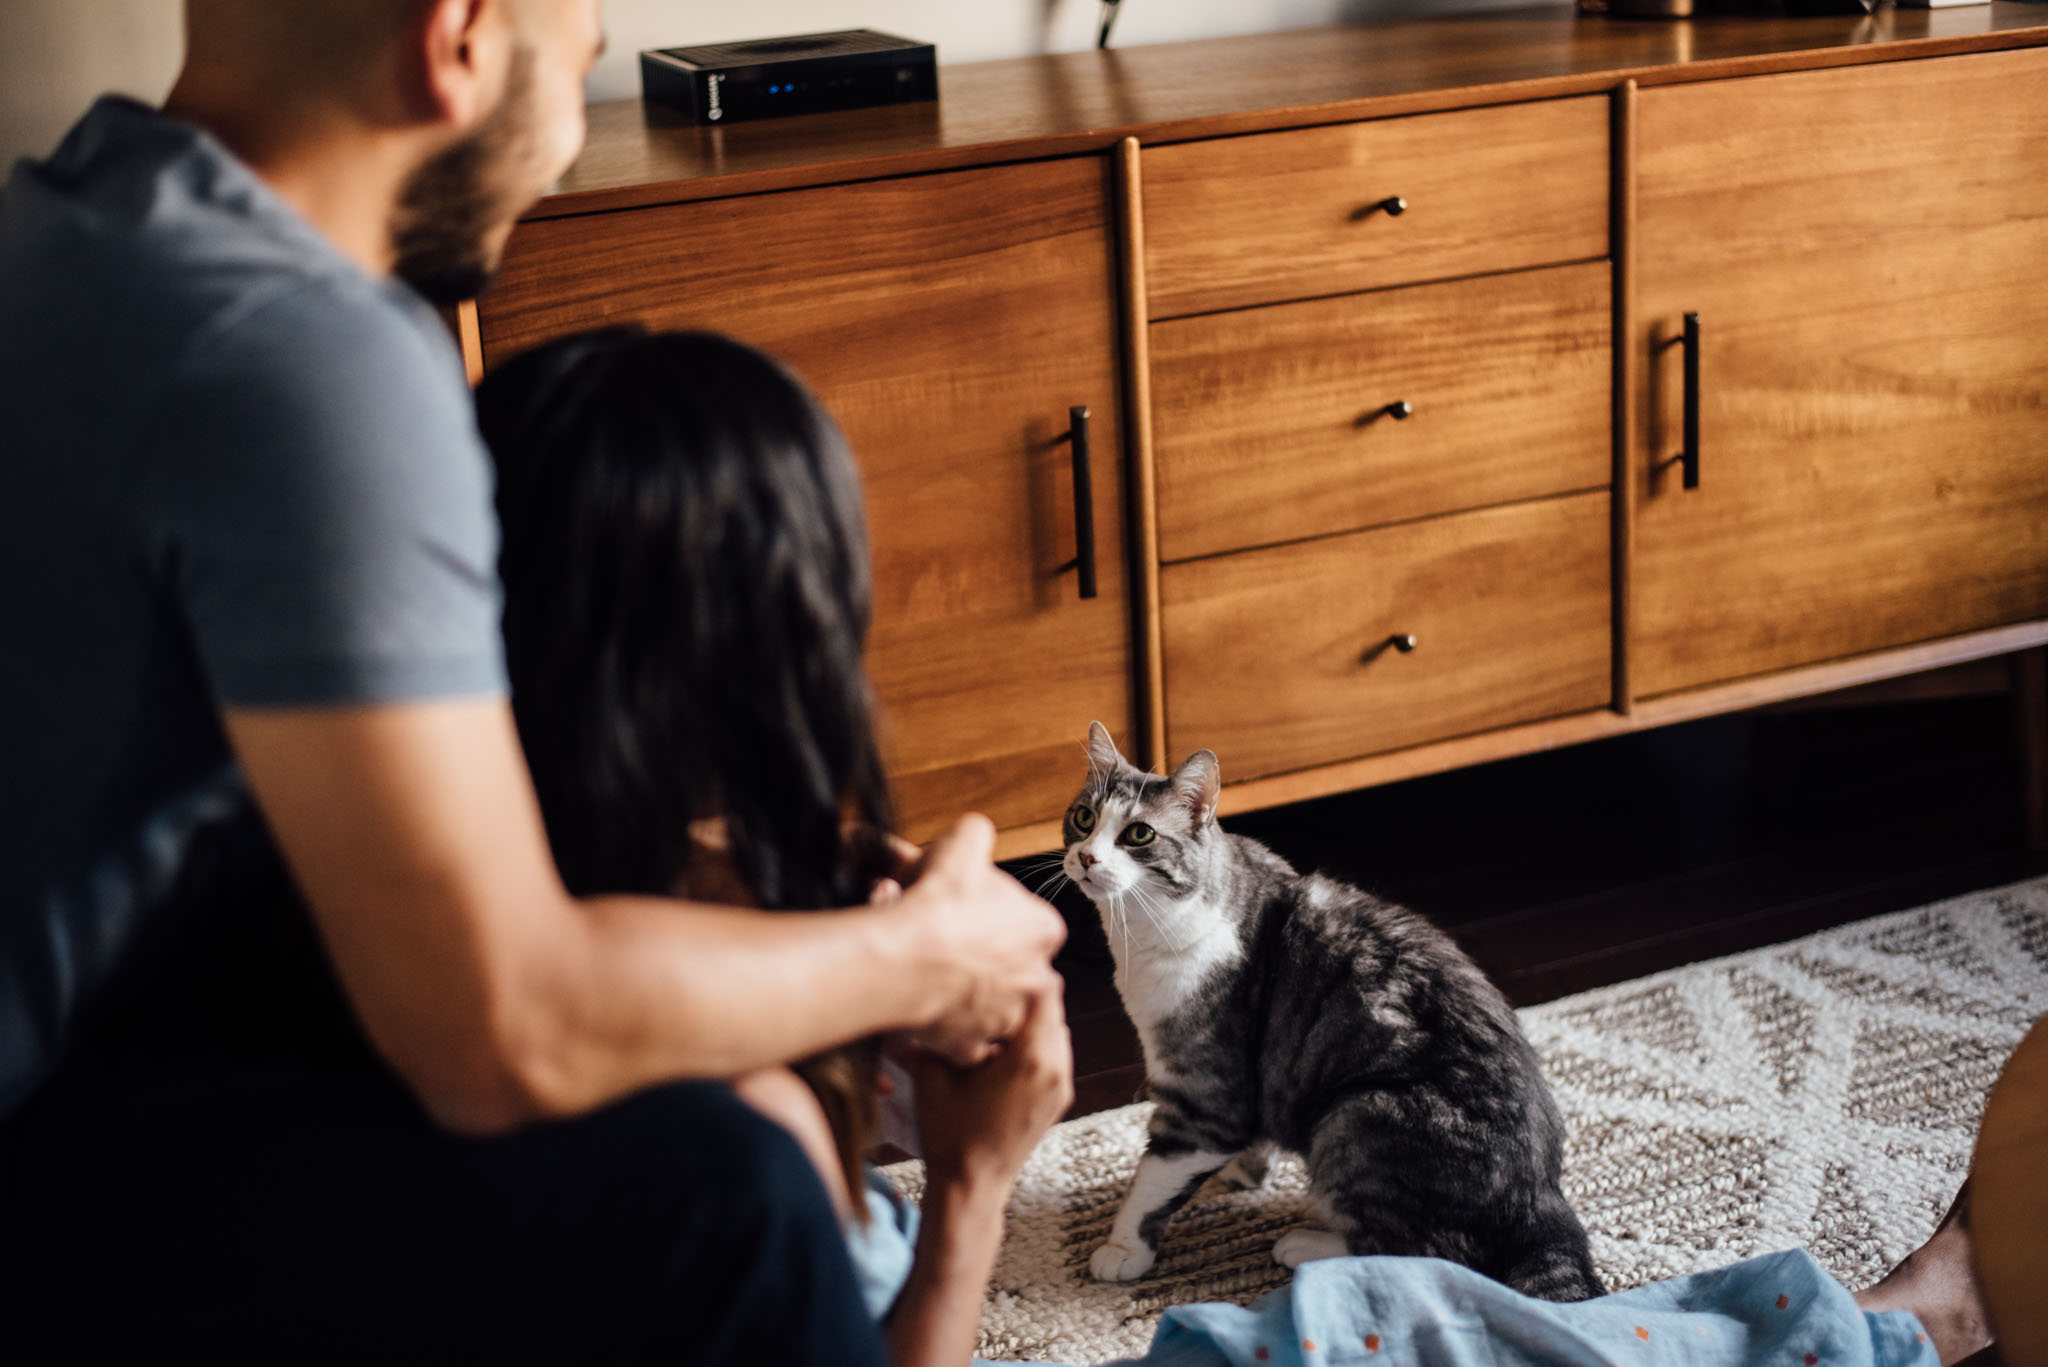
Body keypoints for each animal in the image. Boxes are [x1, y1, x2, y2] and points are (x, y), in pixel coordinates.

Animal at [1064, 717, 1605, 1303]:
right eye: (1084, 817)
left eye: (1139, 835)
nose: (1087, 857)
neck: (1140, 934)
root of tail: (1542, 1195)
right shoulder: (1249, 1089)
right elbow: (1250, 1136)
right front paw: (1245, 1173)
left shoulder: (1204, 1094)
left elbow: (1153, 1175)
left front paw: (1122, 1249)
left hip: (1354, 1118)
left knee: (1430, 1251)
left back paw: (1307, 1246)